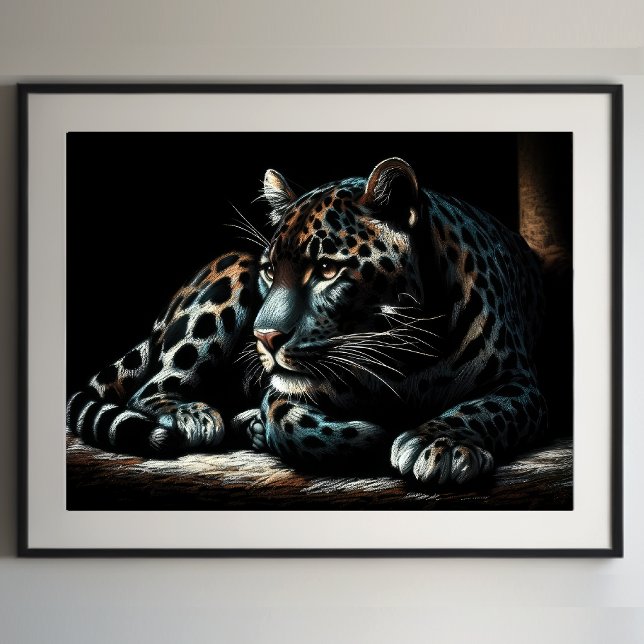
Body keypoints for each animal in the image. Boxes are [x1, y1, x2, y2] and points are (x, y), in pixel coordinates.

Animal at [67, 157, 547, 485]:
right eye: (269, 270)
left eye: (327, 270)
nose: (263, 336)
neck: (407, 361)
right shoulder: (285, 393)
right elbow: (295, 425)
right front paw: (375, 434)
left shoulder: (521, 385)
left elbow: (482, 410)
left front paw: (437, 443)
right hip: (229, 272)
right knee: (150, 388)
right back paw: (195, 415)